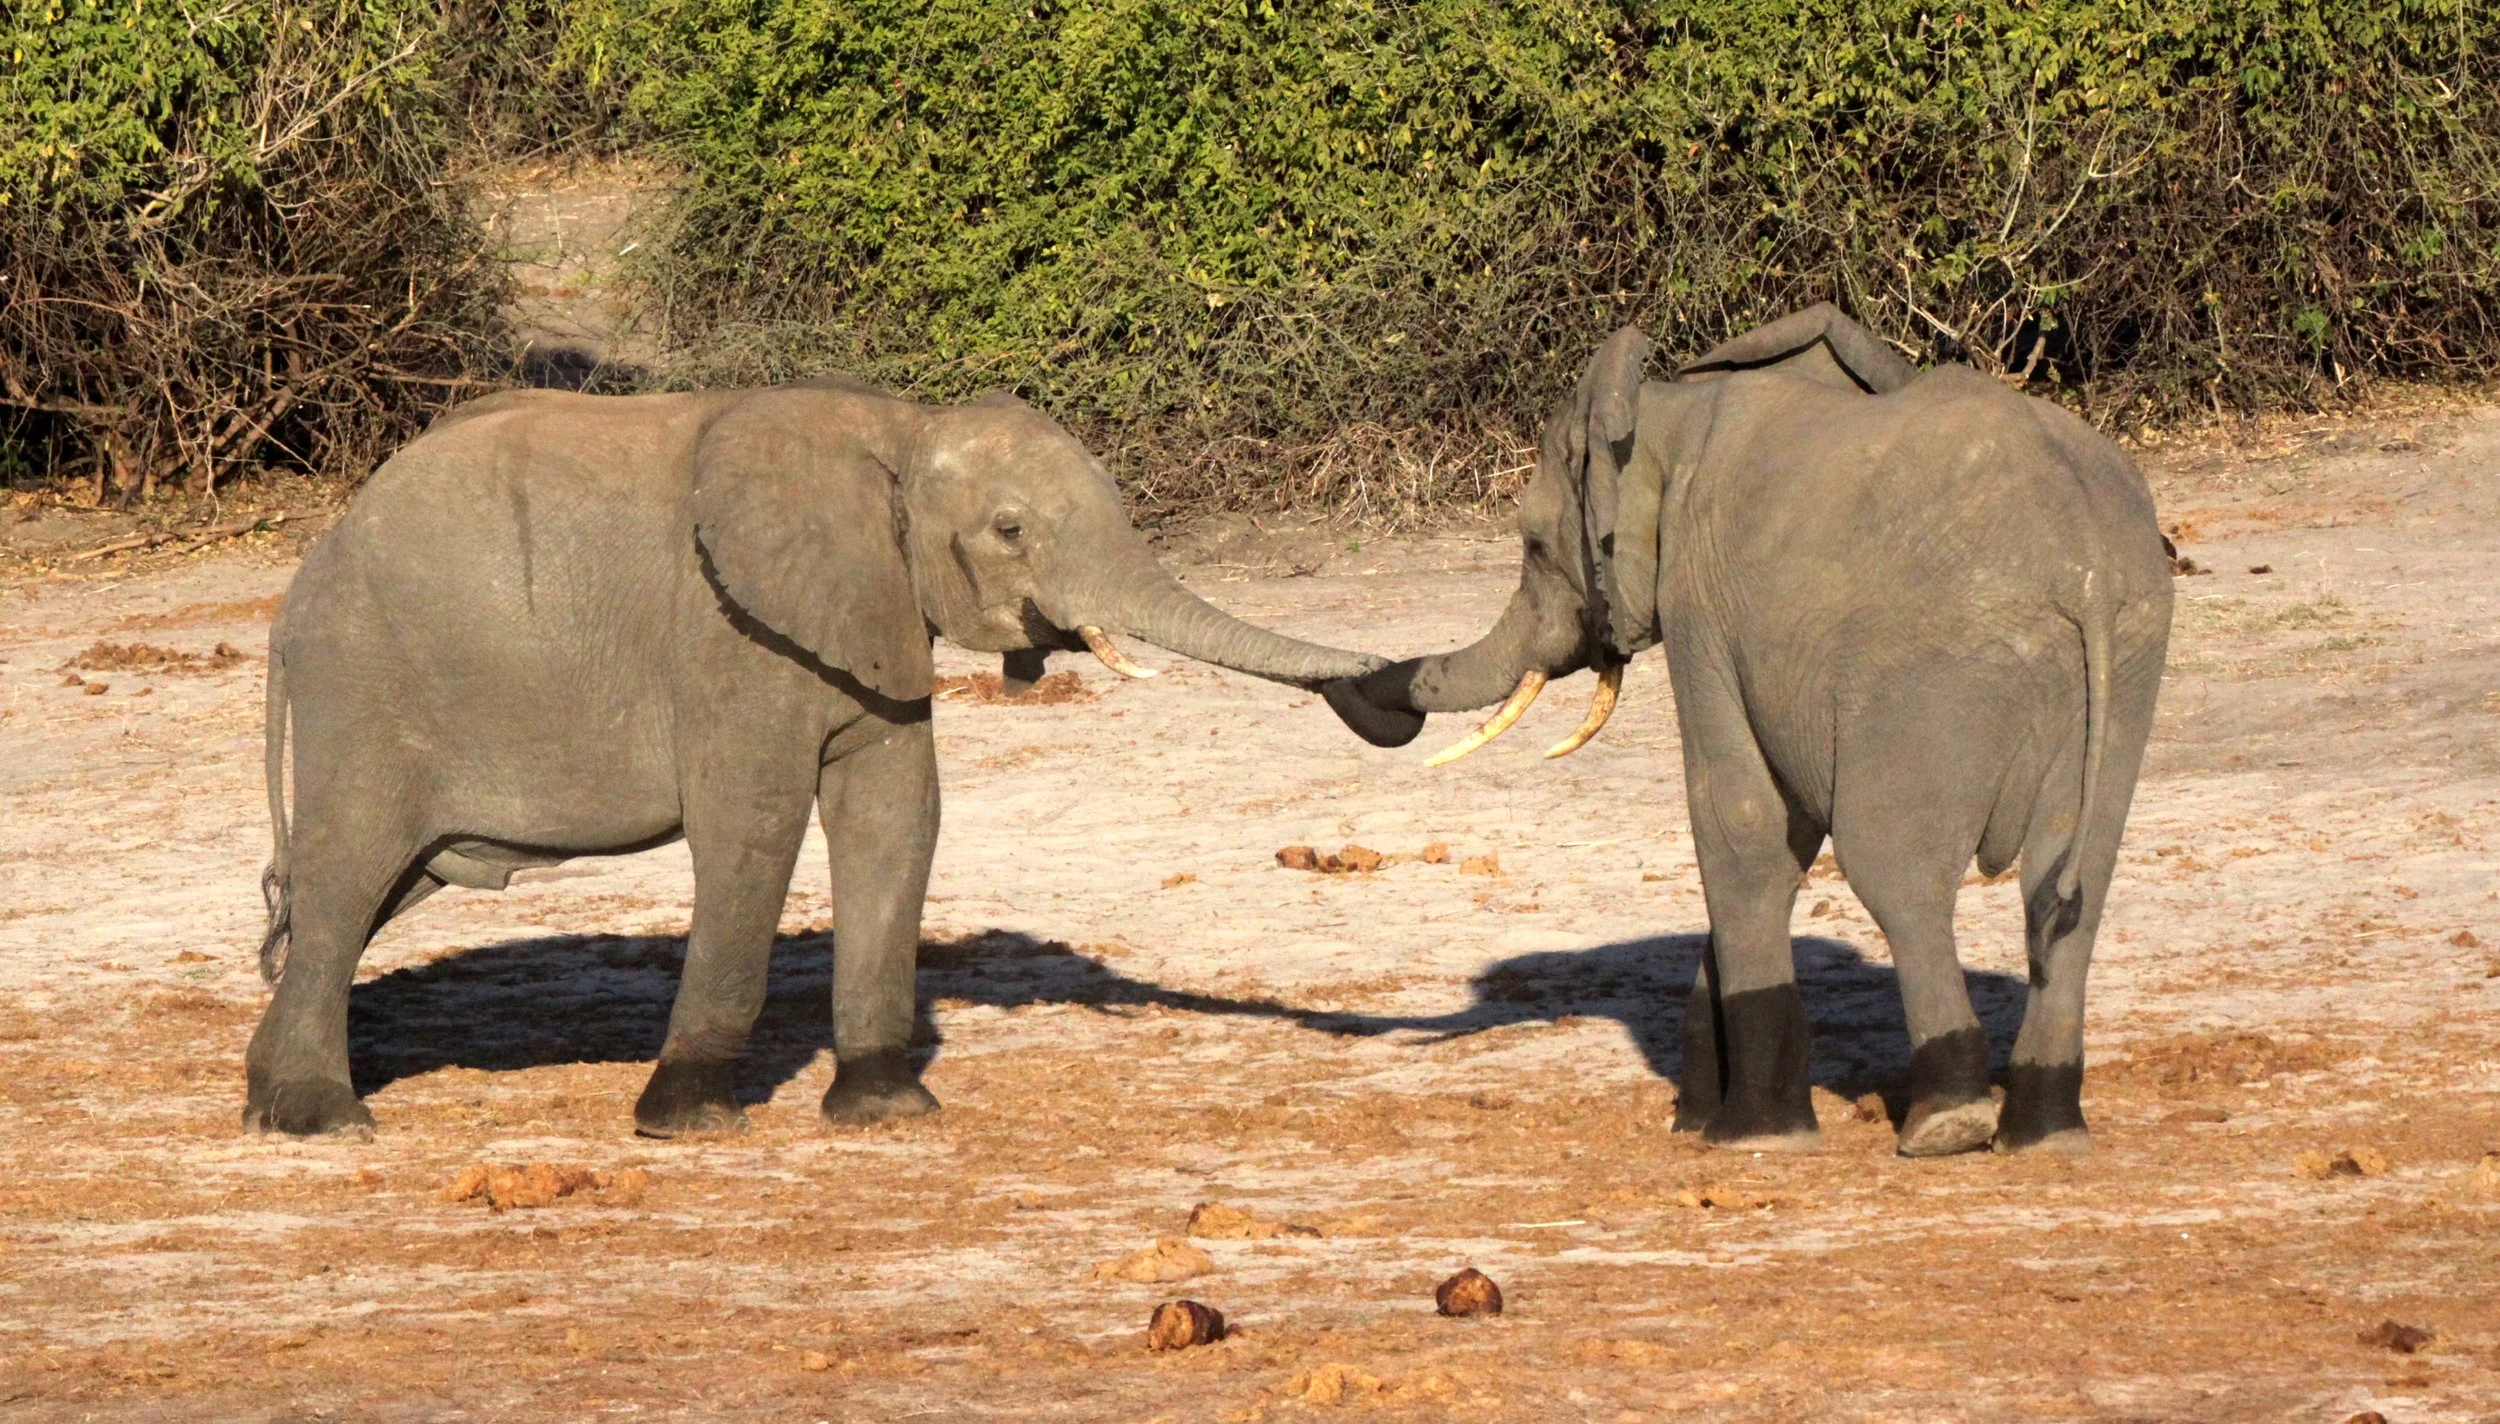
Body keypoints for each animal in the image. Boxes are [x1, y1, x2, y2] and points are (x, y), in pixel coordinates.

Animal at [248, 379, 1385, 1138]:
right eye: (1010, 529)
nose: (1391, 687)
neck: (897, 428)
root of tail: (292, 602)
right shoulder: (732, 637)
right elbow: (755, 827)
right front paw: (690, 1120)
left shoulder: (877, 624)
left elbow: (897, 815)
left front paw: (889, 1108)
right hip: (366, 687)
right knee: (349, 876)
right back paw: (323, 1120)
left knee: (368, 894)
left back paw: (267, 1095)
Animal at [1323, 305, 2172, 1156]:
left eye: (1533, 544)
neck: (1666, 407)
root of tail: (2085, 565)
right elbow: (1785, 830)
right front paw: (1703, 1118)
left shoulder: (1698, 604)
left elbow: (1738, 819)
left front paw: (1754, 1134)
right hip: (2128, 655)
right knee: (2068, 885)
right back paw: (2046, 1132)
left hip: (1934, 668)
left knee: (1897, 872)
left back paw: (1946, 1124)